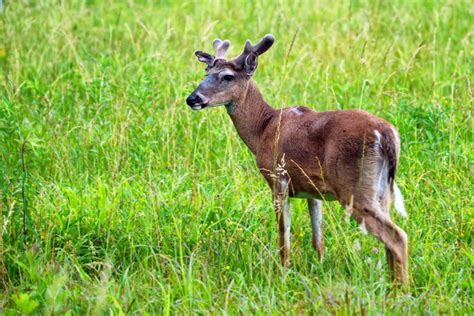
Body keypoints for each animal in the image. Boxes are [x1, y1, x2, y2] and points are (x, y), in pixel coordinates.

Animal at [185, 34, 408, 284]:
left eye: (227, 76)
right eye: (206, 73)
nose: (192, 98)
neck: (263, 129)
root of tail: (387, 134)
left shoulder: (278, 178)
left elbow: (284, 233)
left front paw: (284, 270)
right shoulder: (313, 189)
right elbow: (318, 237)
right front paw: (319, 266)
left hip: (354, 189)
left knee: (397, 236)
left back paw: (401, 289)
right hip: (381, 191)